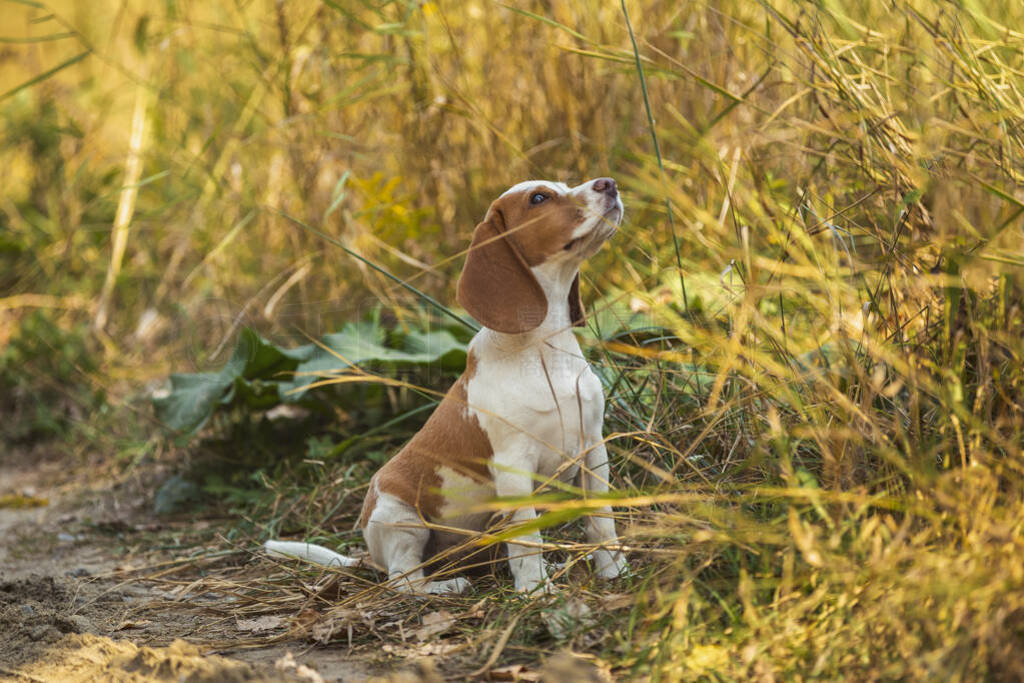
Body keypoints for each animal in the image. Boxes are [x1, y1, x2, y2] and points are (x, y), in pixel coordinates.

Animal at [264, 178, 626, 593]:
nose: (608, 184)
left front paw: (613, 570)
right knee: (403, 580)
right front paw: (535, 590)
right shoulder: (514, 467)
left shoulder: (593, 449)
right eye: (538, 198)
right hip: (403, 520)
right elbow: (526, 539)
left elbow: (601, 520)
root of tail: (369, 556)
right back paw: (446, 586)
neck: (543, 349)